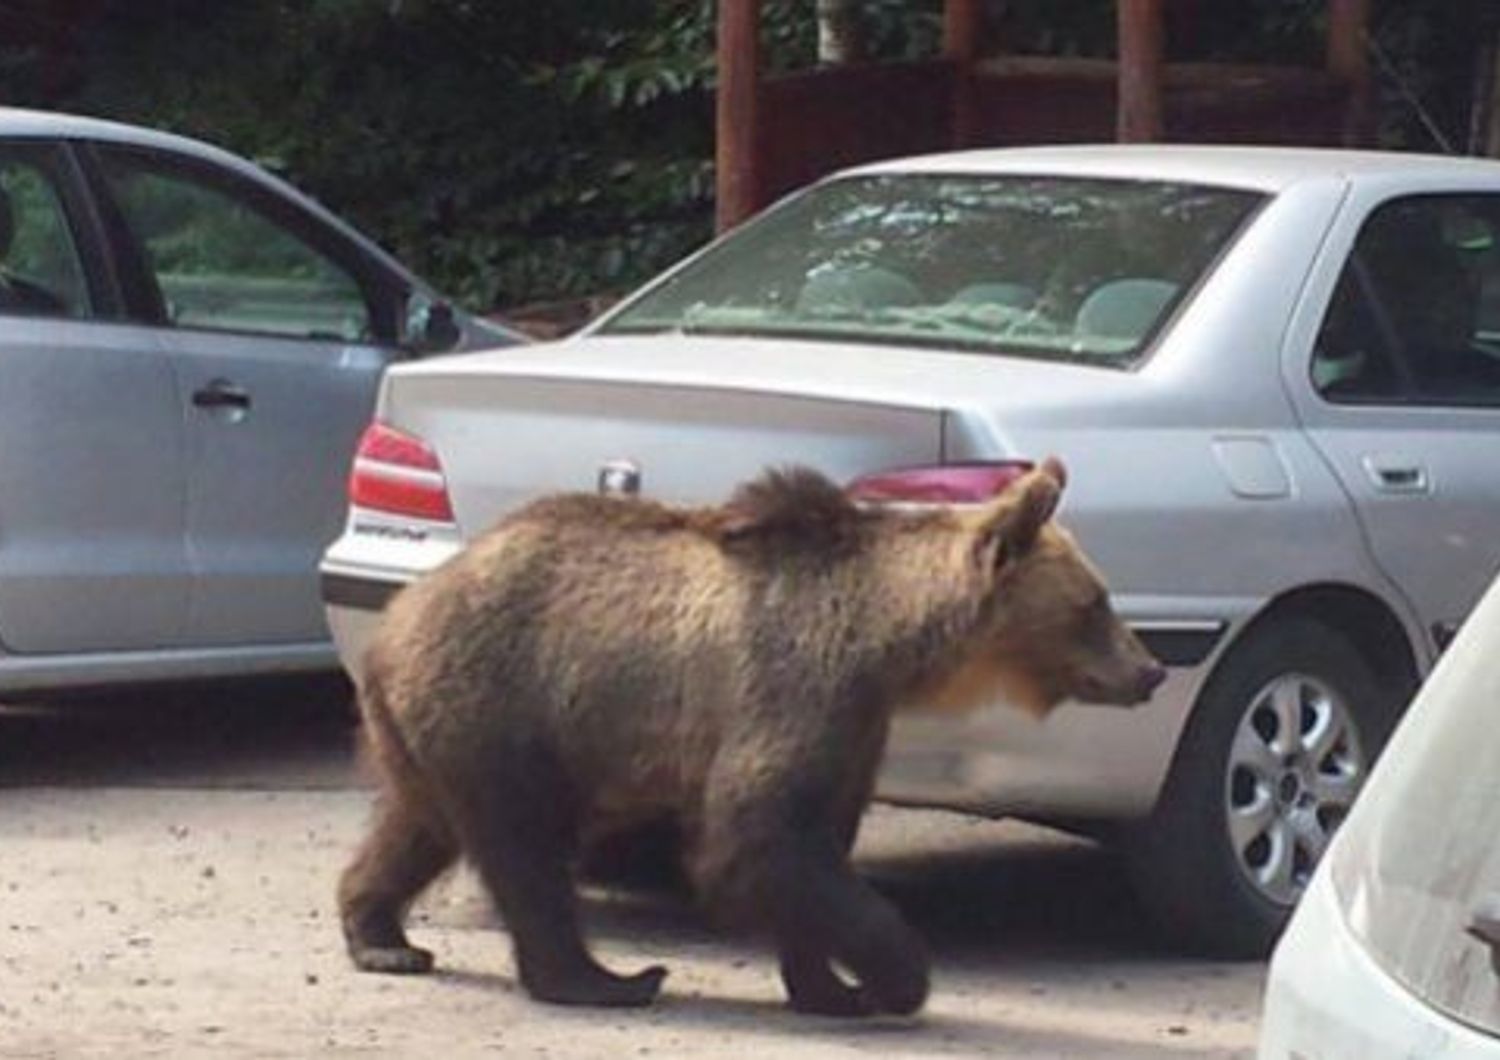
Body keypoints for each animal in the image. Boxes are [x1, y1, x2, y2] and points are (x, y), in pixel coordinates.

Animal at [337, 458, 1158, 1019]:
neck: (888, 642)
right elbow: (758, 836)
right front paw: (895, 978)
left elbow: (809, 844)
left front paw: (829, 986)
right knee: (526, 847)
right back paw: (606, 978)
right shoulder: (794, 686)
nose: (1147, 670)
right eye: (1095, 601)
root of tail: (406, 608)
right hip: (509, 705)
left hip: (438, 728)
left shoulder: (857, 724)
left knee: (420, 825)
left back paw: (382, 934)